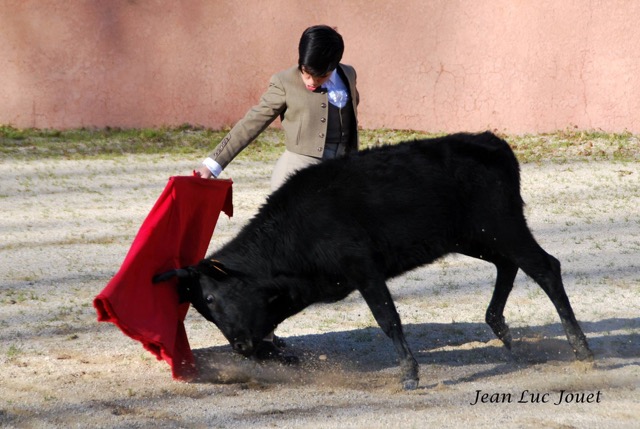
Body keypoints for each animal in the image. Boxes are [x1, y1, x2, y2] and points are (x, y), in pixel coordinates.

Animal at [155, 132, 592, 390]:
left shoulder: (363, 270)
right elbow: (273, 340)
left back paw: (581, 350)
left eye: (210, 299)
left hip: (503, 226)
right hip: (477, 236)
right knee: (508, 266)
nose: (239, 346)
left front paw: (410, 375)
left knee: (545, 268)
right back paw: (500, 327)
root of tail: (493, 142)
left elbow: (387, 318)